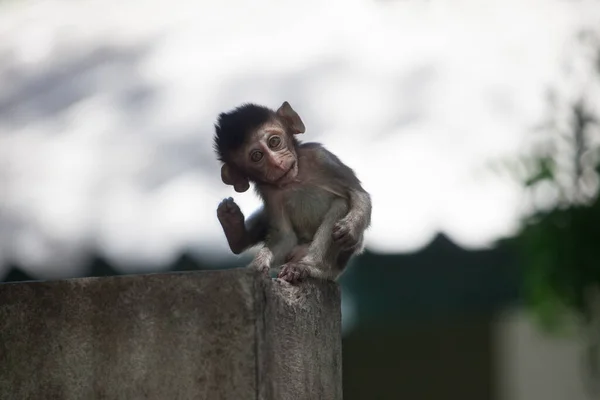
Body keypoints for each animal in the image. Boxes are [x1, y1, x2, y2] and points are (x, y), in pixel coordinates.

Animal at [211, 101, 370, 282]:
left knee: (341, 204)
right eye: (257, 156)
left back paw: (309, 267)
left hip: (337, 262)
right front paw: (258, 263)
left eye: (274, 142)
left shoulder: (320, 157)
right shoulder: (269, 192)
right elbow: (285, 237)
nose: (276, 163)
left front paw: (350, 227)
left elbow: (358, 193)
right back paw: (233, 229)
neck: (295, 179)